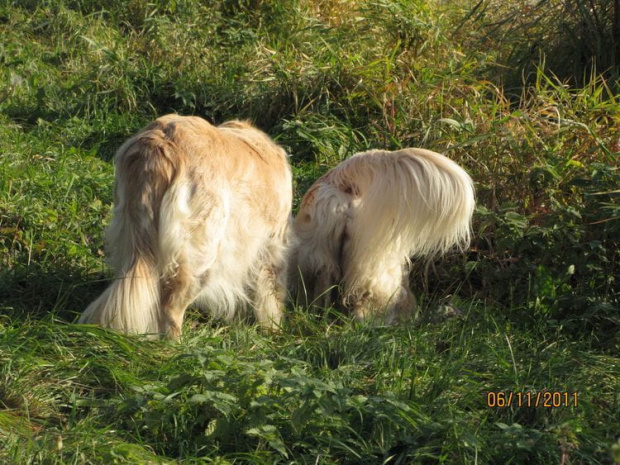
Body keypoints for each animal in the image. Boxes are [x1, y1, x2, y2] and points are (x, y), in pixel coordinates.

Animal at [80, 113, 294, 338]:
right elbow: (272, 293)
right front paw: (274, 329)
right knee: (170, 309)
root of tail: (159, 145)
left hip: (129, 234)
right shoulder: (273, 246)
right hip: (201, 257)